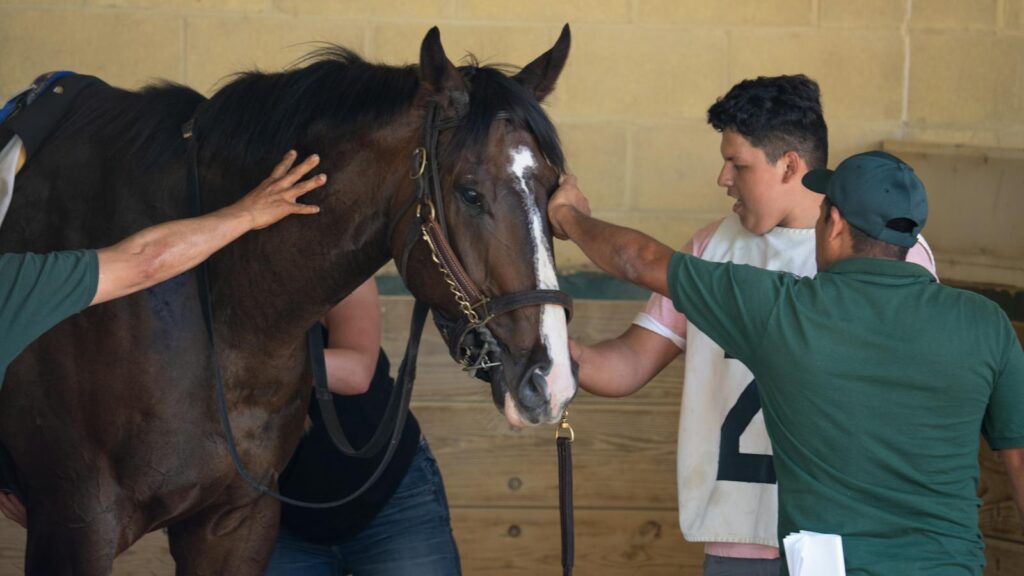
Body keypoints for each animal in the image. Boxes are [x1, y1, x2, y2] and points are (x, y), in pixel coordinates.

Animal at [0, 25, 575, 575]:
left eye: (553, 190)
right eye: (470, 193)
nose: (551, 382)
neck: (221, 312)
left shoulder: (237, 523)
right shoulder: (75, 523)